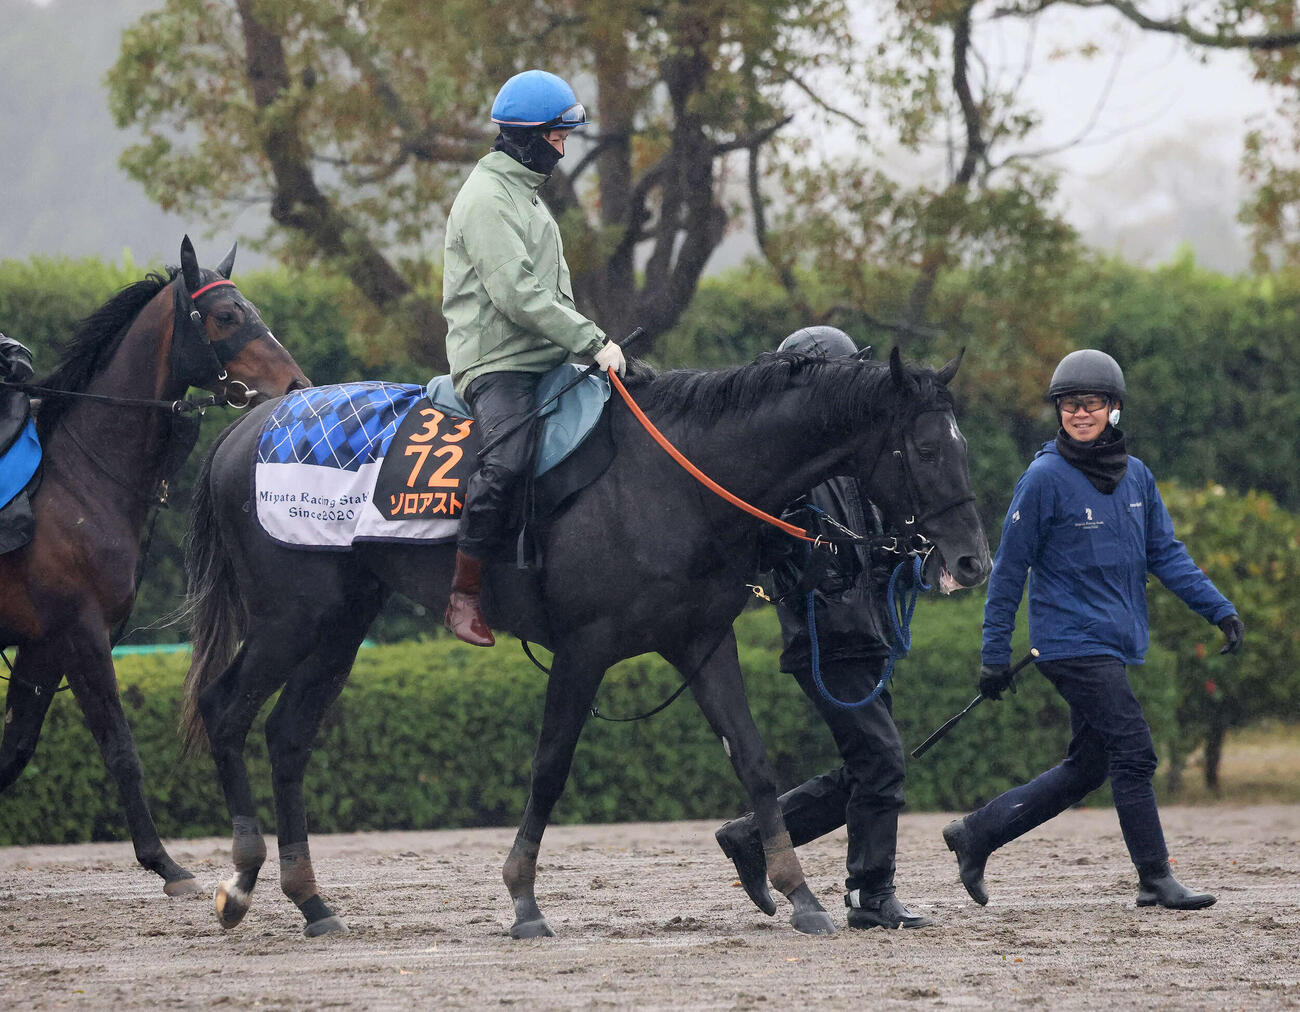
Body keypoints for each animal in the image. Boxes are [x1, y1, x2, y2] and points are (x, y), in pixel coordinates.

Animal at [0, 237, 310, 896]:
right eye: (227, 315)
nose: (296, 383)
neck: (76, 478)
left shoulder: (44, 646)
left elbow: (14, 751)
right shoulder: (82, 636)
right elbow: (120, 749)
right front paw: (165, 863)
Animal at [182, 345, 990, 937]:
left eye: (961, 444)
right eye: (923, 448)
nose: (971, 561)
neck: (670, 478)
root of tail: (249, 425)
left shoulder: (701, 642)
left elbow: (756, 763)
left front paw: (799, 895)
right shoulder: (583, 648)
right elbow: (549, 768)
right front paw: (523, 901)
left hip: (341, 622)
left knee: (287, 736)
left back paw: (312, 902)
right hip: (291, 617)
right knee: (225, 711)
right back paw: (241, 880)